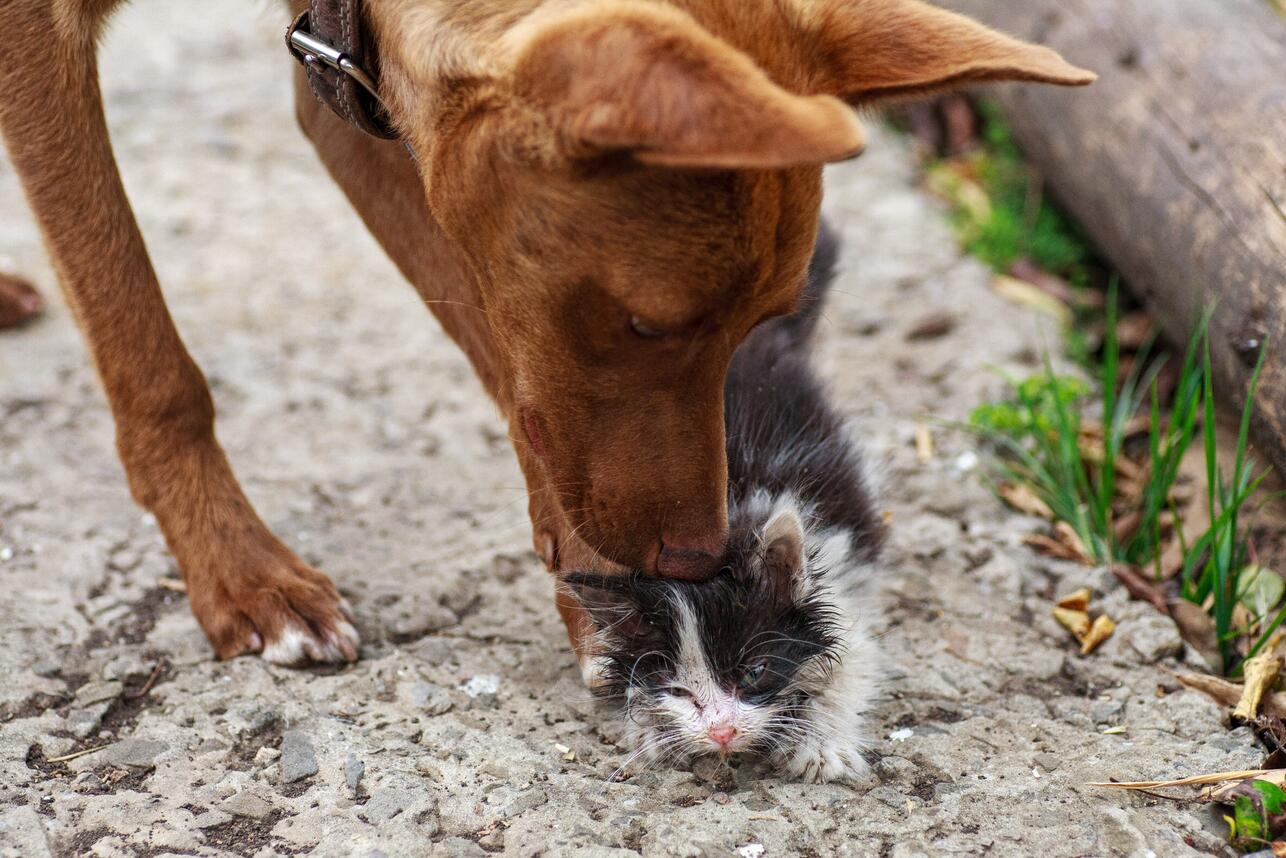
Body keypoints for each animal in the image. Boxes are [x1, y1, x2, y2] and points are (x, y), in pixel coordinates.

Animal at [0, 0, 1095, 668]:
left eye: (757, 326)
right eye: (649, 323)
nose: (697, 559)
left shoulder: (347, 84)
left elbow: (506, 365)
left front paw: (605, 594)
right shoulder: (41, 37)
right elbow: (144, 343)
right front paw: (240, 568)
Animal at [563, 223, 884, 787]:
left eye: (753, 672)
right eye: (678, 690)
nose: (722, 733)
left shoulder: (838, 563)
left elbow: (855, 656)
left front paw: (822, 744)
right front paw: (652, 731)